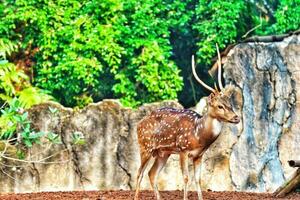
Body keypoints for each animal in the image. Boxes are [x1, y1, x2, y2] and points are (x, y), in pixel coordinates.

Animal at [135, 45, 240, 200]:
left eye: (230, 104)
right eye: (220, 106)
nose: (236, 117)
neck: (198, 135)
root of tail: (138, 125)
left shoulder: (199, 155)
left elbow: (198, 179)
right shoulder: (183, 149)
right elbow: (185, 178)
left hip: (162, 153)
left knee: (152, 173)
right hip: (145, 146)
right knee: (139, 173)